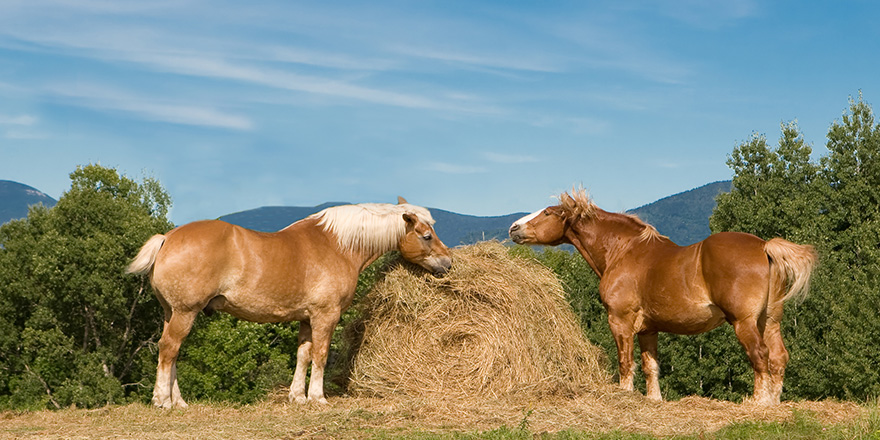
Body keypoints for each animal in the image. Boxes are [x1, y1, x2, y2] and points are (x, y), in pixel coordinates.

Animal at [127, 198, 450, 408]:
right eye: (426, 235)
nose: (447, 263)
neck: (337, 245)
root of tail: (167, 238)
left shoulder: (306, 318)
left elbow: (303, 355)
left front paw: (298, 397)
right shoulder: (325, 316)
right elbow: (320, 355)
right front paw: (317, 397)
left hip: (173, 313)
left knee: (171, 352)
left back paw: (178, 401)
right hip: (185, 312)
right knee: (169, 350)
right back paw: (162, 401)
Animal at [508, 189, 820, 406]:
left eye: (549, 212)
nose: (513, 228)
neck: (624, 252)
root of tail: (765, 246)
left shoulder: (620, 321)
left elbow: (625, 362)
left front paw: (625, 395)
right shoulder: (648, 329)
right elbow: (651, 367)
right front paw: (653, 400)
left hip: (745, 323)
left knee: (760, 356)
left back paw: (759, 403)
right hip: (769, 321)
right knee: (778, 357)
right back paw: (774, 403)